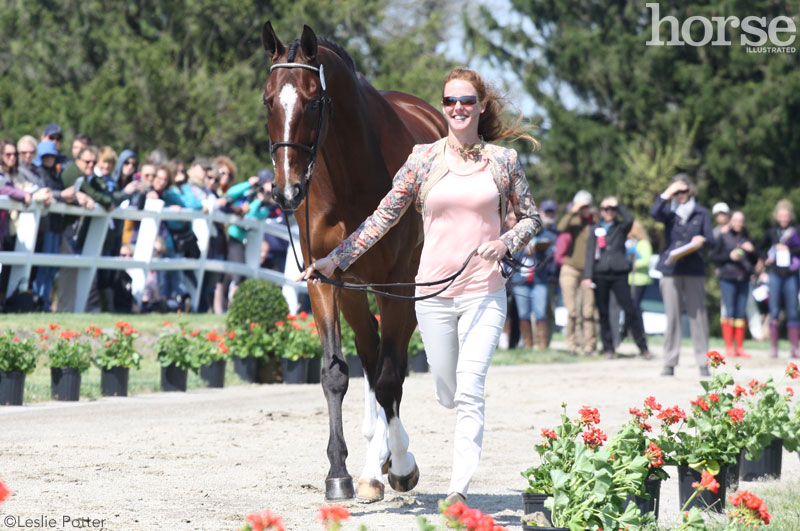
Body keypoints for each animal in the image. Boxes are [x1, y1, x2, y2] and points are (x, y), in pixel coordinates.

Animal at [262, 21, 450, 502]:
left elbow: (389, 378)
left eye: (313, 100)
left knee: (388, 368)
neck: (351, 177)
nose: (287, 191)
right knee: (370, 358)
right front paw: (339, 473)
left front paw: (402, 465)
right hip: (354, 292)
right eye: (268, 100)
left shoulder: (399, 283)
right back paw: (370, 467)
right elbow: (336, 374)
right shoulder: (325, 280)